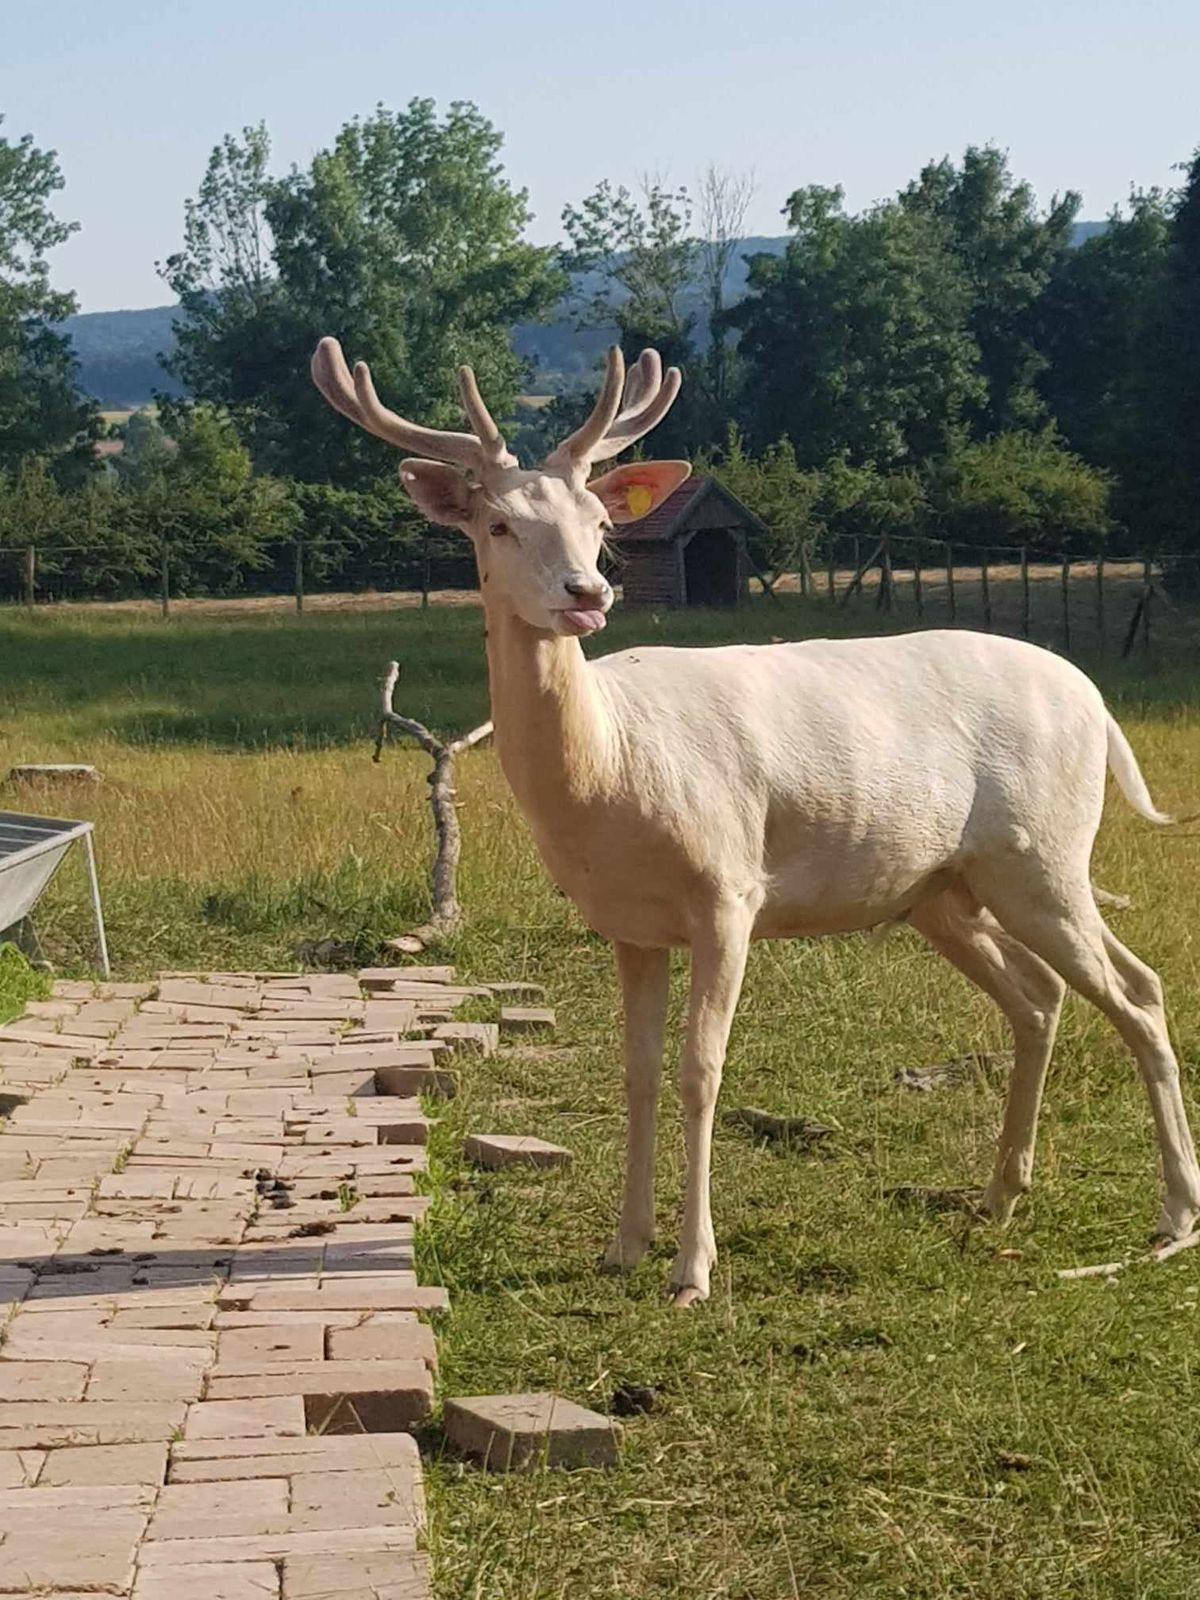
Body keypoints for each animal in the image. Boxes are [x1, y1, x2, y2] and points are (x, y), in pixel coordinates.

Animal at [312, 337, 1200, 1299]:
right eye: (499, 525)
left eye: (600, 522)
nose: (586, 594)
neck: (613, 773)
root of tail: (1098, 704)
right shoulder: (628, 925)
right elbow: (637, 1073)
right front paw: (624, 1246)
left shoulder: (728, 888)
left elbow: (701, 1071)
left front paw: (692, 1270)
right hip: (944, 890)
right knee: (1038, 997)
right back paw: (999, 1196)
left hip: (1043, 854)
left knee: (1140, 990)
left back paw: (1173, 1216)